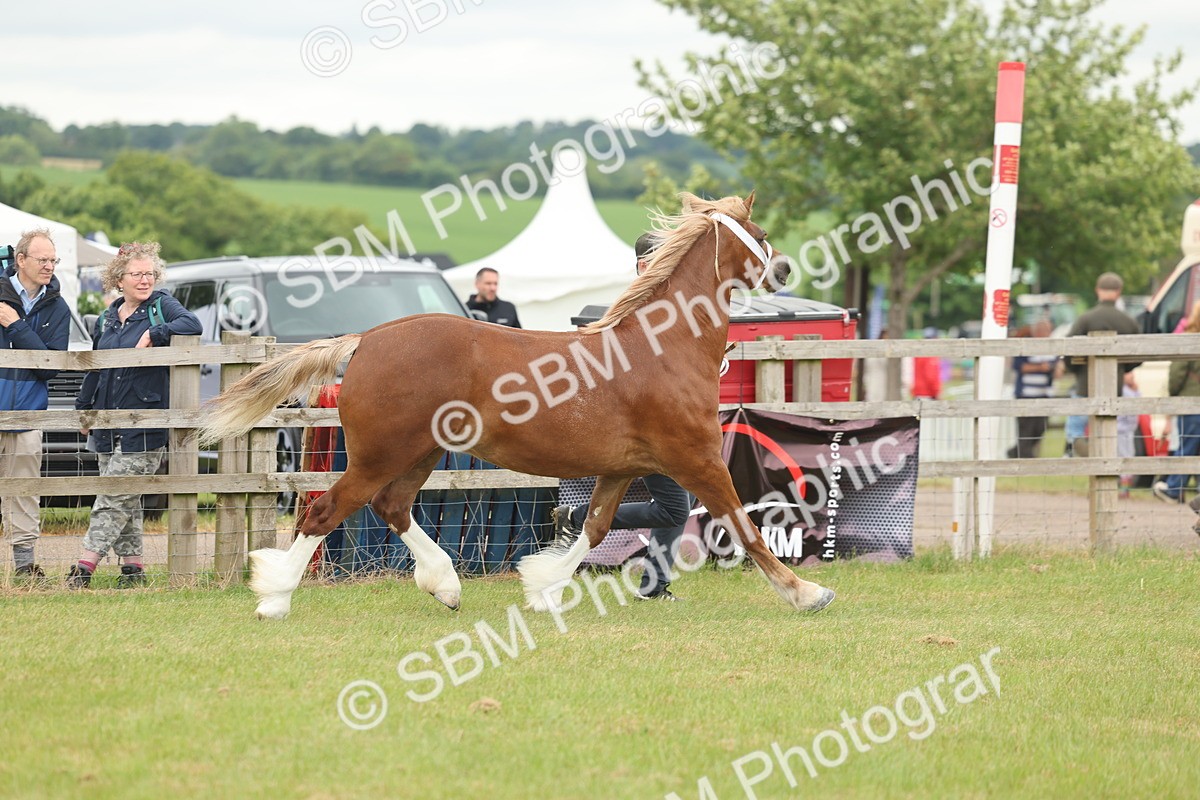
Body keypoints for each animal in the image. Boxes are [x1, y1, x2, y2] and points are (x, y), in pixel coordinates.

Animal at [199, 192, 836, 619]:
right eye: (758, 230)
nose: (783, 268)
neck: (663, 348)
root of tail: (366, 339)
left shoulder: (621, 469)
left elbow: (593, 528)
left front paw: (542, 587)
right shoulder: (696, 459)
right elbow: (745, 526)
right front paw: (808, 592)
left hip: (419, 454)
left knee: (392, 507)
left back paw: (446, 586)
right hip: (380, 454)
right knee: (325, 512)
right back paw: (275, 600)